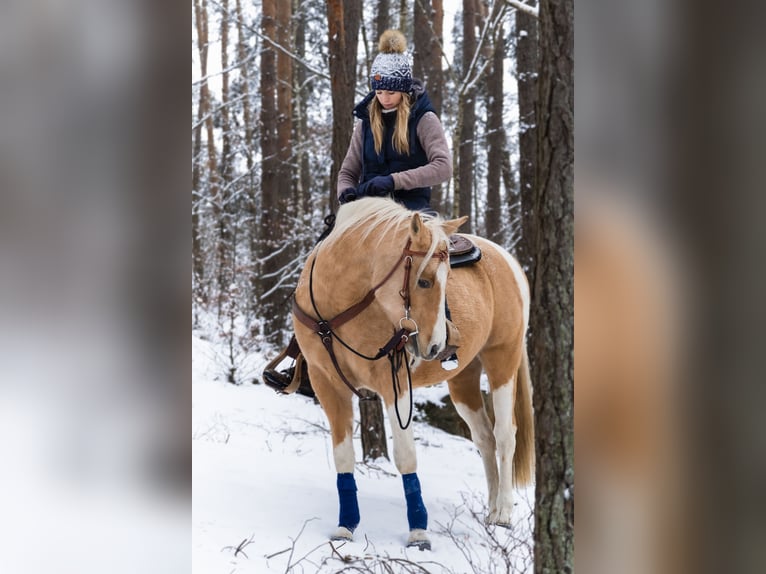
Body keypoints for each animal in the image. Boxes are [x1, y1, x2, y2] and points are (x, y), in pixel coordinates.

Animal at [292, 197, 534, 550]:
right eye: (424, 280)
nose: (435, 346)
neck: (339, 307)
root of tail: (508, 260)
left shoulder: (394, 385)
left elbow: (406, 456)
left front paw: (418, 531)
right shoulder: (328, 386)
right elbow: (343, 456)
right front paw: (346, 525)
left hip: (502, 358)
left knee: (504, 434)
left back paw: (503, 512)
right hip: (463, 379)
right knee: (484, 438)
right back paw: (490, 509)